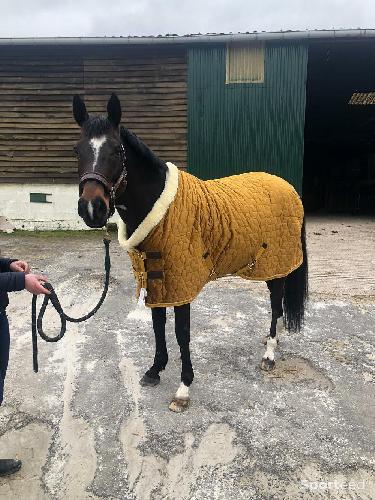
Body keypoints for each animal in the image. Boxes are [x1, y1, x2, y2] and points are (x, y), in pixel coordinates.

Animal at [72, 94, 308, 414]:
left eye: (116, 150)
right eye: (77, 150)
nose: (92, 208)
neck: (160, 209)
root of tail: (288, 187)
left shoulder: (181, 283)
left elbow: (181, 333)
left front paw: (183, 388)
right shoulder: (157, 277)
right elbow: (158, 325)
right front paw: (154, 370)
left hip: (276, 267)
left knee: (276, 307)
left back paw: (270, 353)